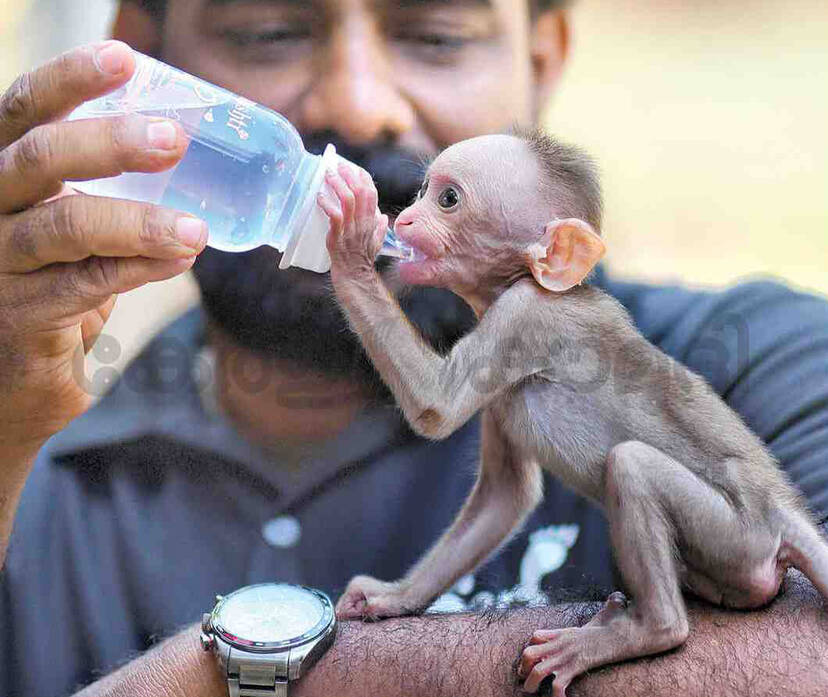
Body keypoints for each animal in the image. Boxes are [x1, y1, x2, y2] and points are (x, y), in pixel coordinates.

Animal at [316, 132, 828, 696]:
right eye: (424, 190)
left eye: (447, 199)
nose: (403, 221)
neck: (521, 282)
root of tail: (781, 508)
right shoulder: (503, 388)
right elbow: (504, 496)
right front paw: (395, 598)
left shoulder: (524, 317)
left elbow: (436, 405)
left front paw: (349, 237)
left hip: (738, 534)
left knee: (631, 467)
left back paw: (646, 629)